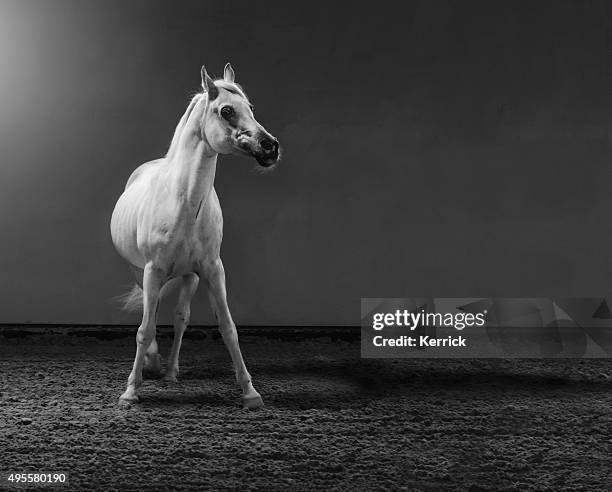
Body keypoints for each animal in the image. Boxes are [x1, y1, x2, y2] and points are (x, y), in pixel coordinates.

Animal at [109, 63, 280, 408]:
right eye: (226, 110)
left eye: (250, 108)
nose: (271, 146)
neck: (184, 202)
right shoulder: (152, 271)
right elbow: (145, 329)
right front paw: (130, 391)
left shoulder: (213, 270)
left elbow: (228, 327)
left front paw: (250, 392)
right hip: (138, 272)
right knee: (152, 316)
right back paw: (152, 364)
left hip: (189, 277)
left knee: (180, 318)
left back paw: (170, 372)